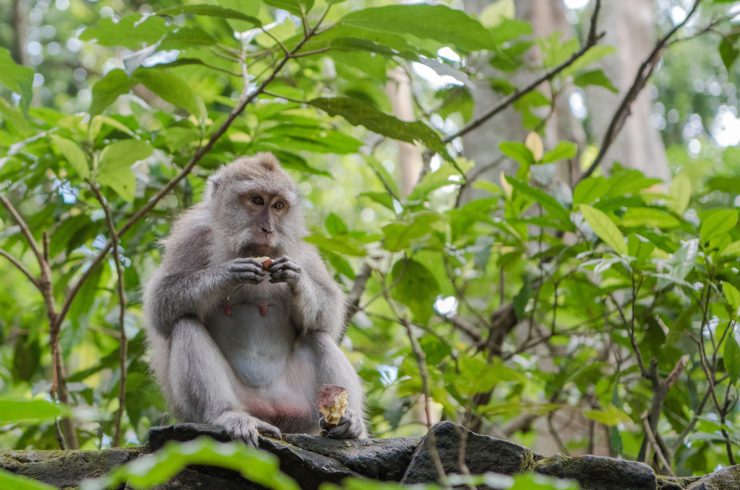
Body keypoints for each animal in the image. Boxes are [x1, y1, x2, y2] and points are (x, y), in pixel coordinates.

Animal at [143, 152, 366, 444]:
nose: (268, 228)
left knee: (317, 336)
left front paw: (296, 279)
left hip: (298, 410)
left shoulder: (302, 249)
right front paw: (228, 273)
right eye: (257, 200)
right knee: (185, 323)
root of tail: (268, 412)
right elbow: (160, 304)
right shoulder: (192, 235)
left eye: (279, 205)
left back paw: (349, 423)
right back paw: (226, 414)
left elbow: (329, 315)